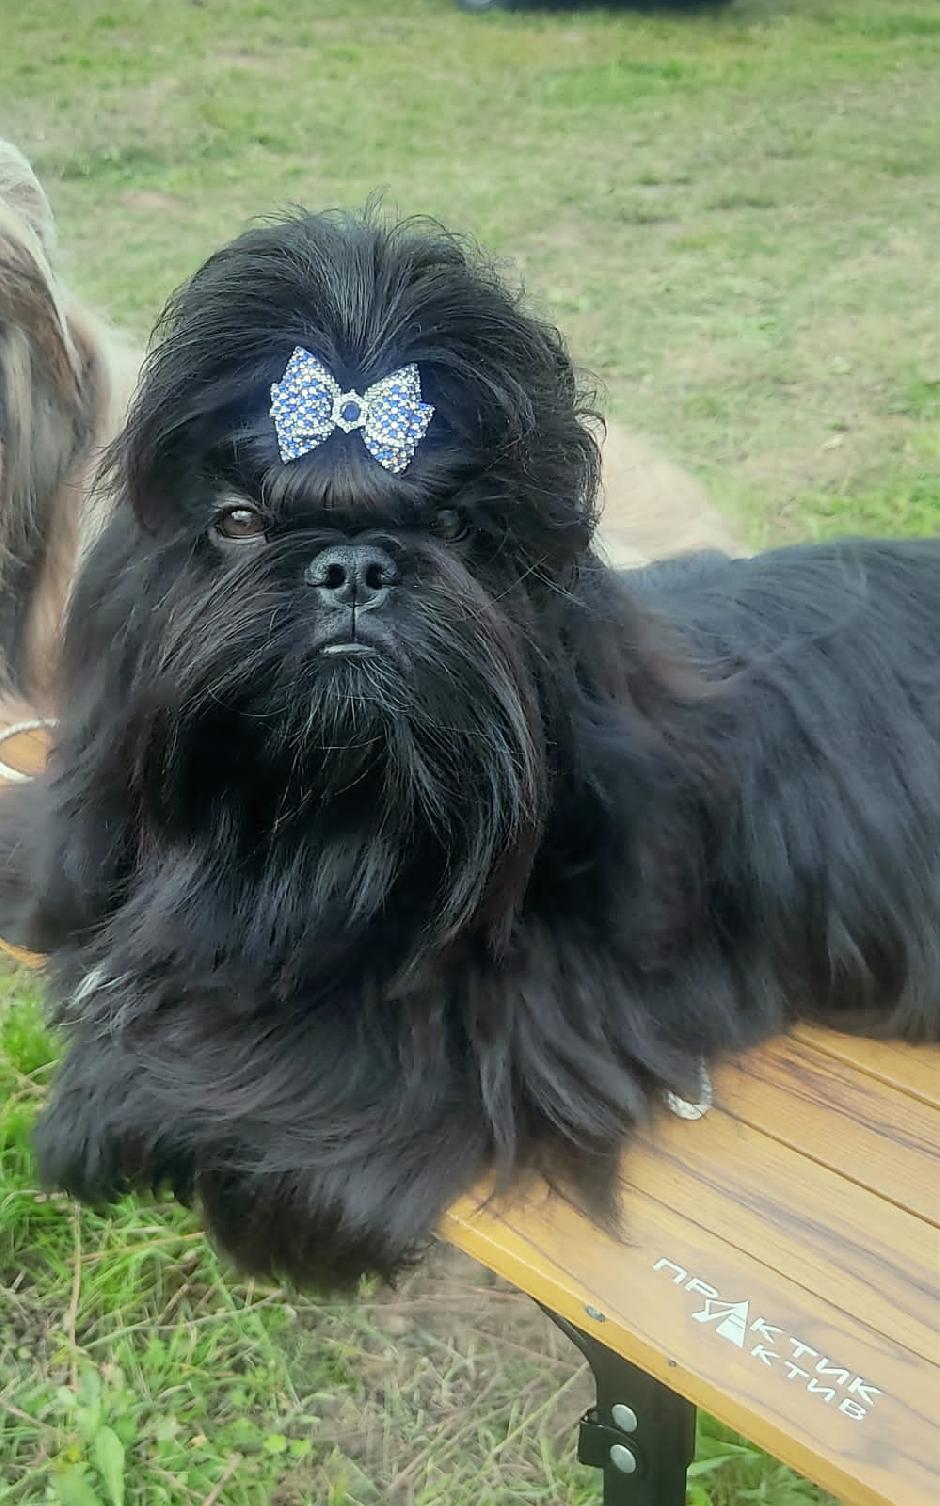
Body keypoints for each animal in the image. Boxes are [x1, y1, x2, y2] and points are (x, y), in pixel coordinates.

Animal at [0, 208, 936, 1290]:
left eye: (454, 525)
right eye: (236, 522)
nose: (353, 566)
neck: (330, 838)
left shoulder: (522, 1020)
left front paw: (116, 1099)